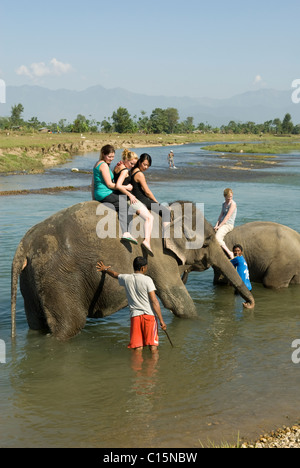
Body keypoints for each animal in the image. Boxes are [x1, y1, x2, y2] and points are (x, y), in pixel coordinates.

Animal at [12, 199, 255, 338]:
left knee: (36, 324)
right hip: (59, 278)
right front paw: (201, 323)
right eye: (208, 241)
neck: (167, 213)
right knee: (68, 327)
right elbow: (176, 300)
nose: (248, 304)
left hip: (30, 279)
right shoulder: (156, 253)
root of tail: (24, 246)